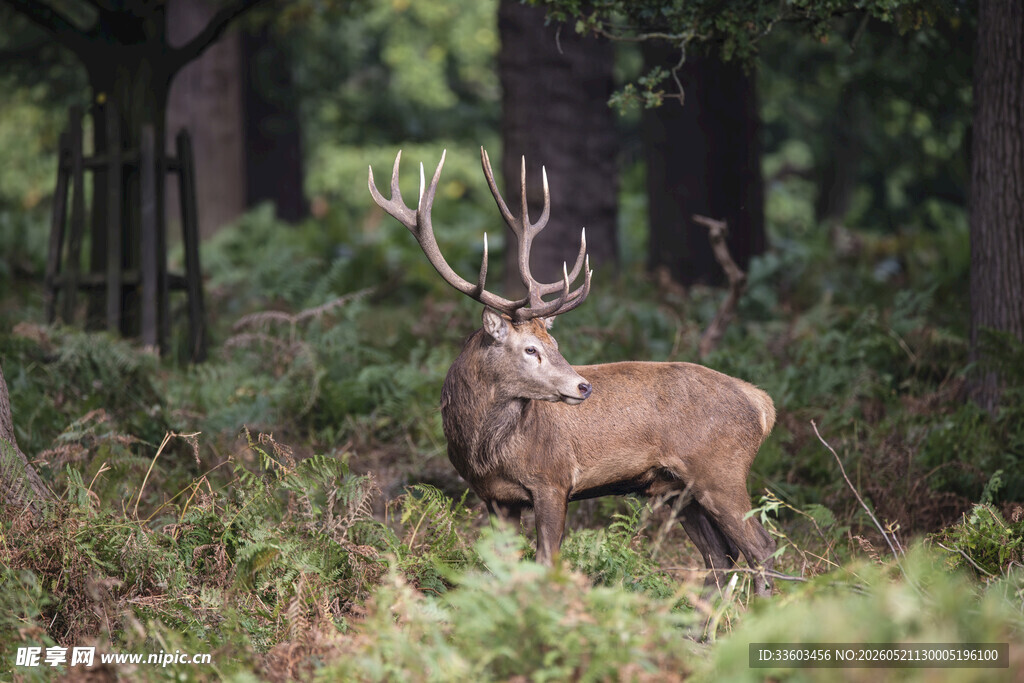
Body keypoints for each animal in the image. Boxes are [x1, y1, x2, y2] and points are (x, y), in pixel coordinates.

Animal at [368, 148, 777, 597]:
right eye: (531, 349)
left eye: (556, 345)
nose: (583, 386)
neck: (482, 450)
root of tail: (762, 404)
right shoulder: (494, 497)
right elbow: (501, 566)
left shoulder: (552, 479)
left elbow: (547, 561)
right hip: (676, 489)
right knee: (720, 557)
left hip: (721, 471)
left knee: (761, 547)